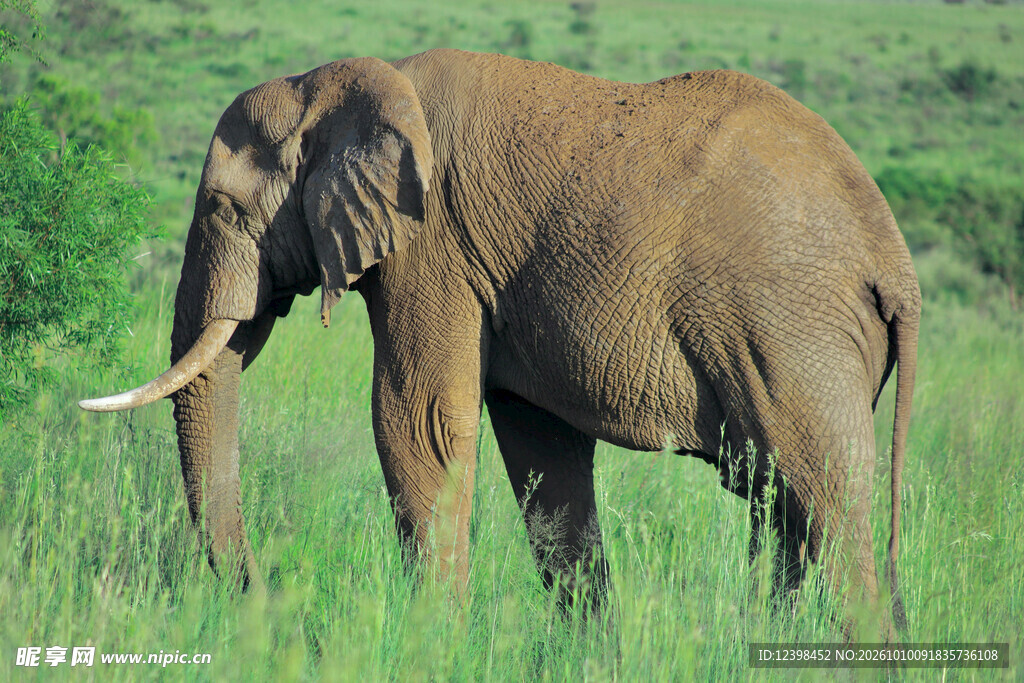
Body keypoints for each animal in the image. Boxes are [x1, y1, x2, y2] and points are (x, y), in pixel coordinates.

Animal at [81, 48, 919, 633]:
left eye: (222, 208)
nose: (270, 599)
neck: (343, 78)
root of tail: (894, 261)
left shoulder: (432, 244)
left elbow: (415, 422)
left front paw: (432, 644)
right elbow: (543, 458)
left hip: (791, 333)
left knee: (825, 503)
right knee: (780, 509)